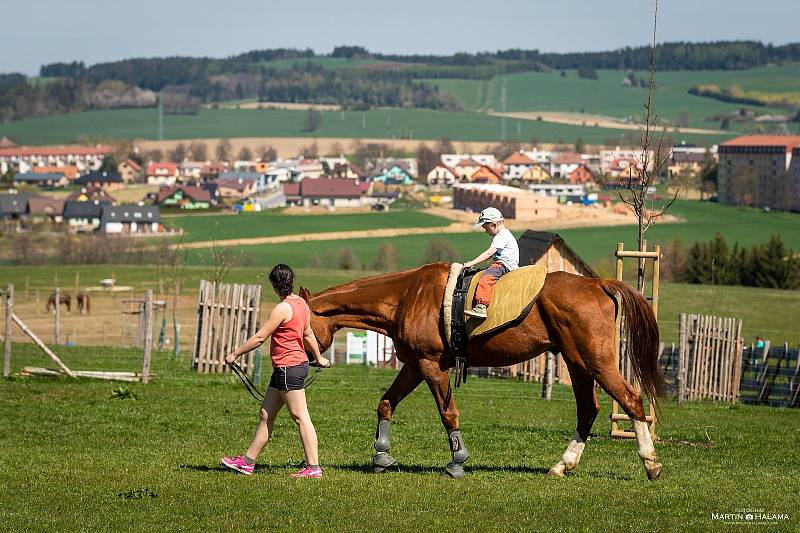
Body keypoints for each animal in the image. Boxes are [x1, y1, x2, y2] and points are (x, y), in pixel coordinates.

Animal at [296, 264, 664, 480]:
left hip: (595, 363)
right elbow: (386, 404)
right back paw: (562, 465)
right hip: (577, 364)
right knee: (587, 409)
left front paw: (457, 461)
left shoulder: (431, 365)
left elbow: (448, 413)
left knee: (631, 400)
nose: (310, 362)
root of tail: (597, 284)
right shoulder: (415, 365)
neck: (404, 297)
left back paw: (650, 462)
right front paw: (381, 456)